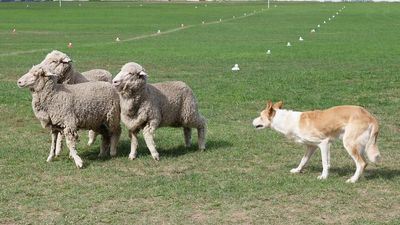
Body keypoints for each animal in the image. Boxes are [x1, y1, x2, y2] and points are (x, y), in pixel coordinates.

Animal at [253, 100, 382, 183]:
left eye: (260, 116)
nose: (252, 121)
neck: (287, 121)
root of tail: (371, 117)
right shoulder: (312, 147)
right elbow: (304, 160)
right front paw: (297, 170)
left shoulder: (323, 143)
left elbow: (324, 162)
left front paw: (323, 177)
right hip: (359, 146)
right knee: (364, 163)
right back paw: (358, 177)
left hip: (349, 144)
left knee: (361, 163)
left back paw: (353, 180)